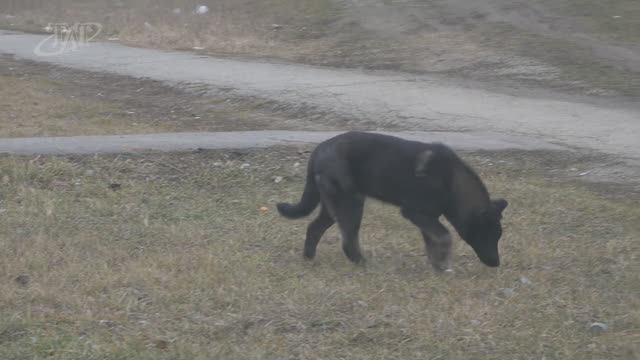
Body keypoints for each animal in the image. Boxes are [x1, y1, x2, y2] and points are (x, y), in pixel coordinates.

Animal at [278, 132, 508, 270]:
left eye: (498, 236)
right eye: (488, 235)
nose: (496, 263)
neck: (452, 182)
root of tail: (318, 151)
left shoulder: (428, 219)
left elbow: (433, 242)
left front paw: (438, 267)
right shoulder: (415, 212)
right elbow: (444, 236)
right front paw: (443, 262)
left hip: (332, 207)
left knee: (314, 228)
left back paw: (309, 258)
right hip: (350, 204)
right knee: (348, 241)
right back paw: (363, 264)